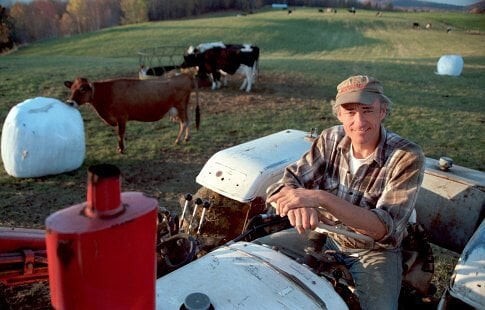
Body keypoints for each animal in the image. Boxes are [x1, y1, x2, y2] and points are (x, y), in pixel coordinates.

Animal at [63, 74, 199, 154]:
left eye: (82, 89)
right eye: (71, 89)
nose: (70, 102)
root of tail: (185, 75)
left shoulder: (121, 116)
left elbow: (120, 134)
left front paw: (121, 149)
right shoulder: (118, 119)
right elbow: (121, 133)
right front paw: (121, 147)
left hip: (180, 106)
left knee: (184, 122)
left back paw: (177, 140)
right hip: (181, 107)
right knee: (187, 121)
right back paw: (186, 138)